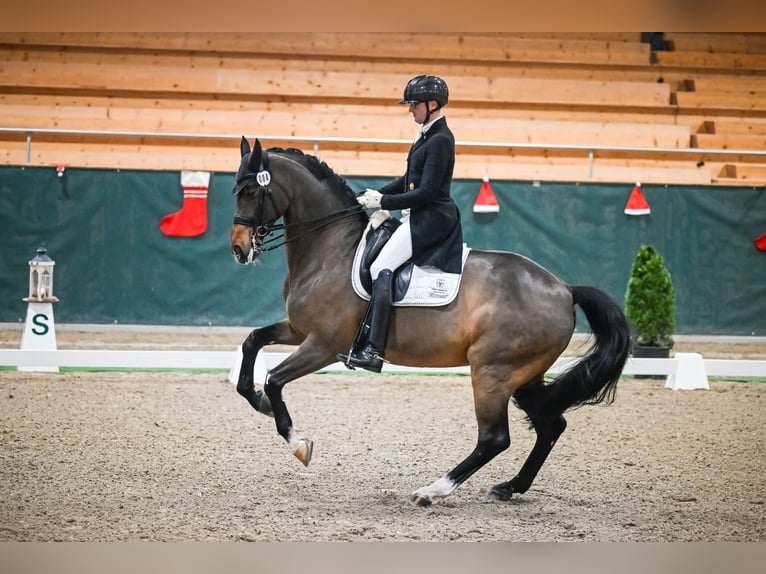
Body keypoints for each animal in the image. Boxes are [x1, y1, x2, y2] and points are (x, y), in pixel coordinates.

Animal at [230, 138, 632, 508]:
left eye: (251, 191)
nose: (238, 249)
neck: (331, 250)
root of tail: (564, 289)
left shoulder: (324, 345)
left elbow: (276, 379)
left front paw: (298, 443)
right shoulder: (300, 330)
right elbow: (252, 343)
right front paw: (259, 401)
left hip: (492, 371)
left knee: (495, 438)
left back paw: (432, 491)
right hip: (524, 375)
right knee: (550, 423)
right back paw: (509, 487)